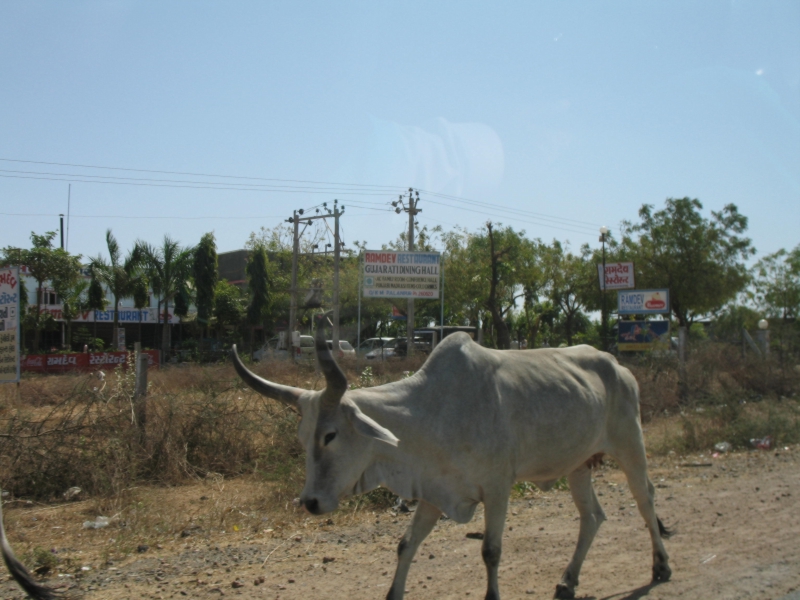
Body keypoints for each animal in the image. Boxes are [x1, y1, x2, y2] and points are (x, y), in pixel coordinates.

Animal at [234, 326, 672, 596]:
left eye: (330, 435)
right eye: (303, 436)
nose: (309, 502)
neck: (432, 412)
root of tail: (617, 365)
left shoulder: (497, 489)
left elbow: (491, 551)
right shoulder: (432, 492)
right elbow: (405, 545)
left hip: (631, 445)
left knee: (646, 499)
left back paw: (661, 567)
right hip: (579, 465)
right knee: (592, 516)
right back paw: (567, 581)